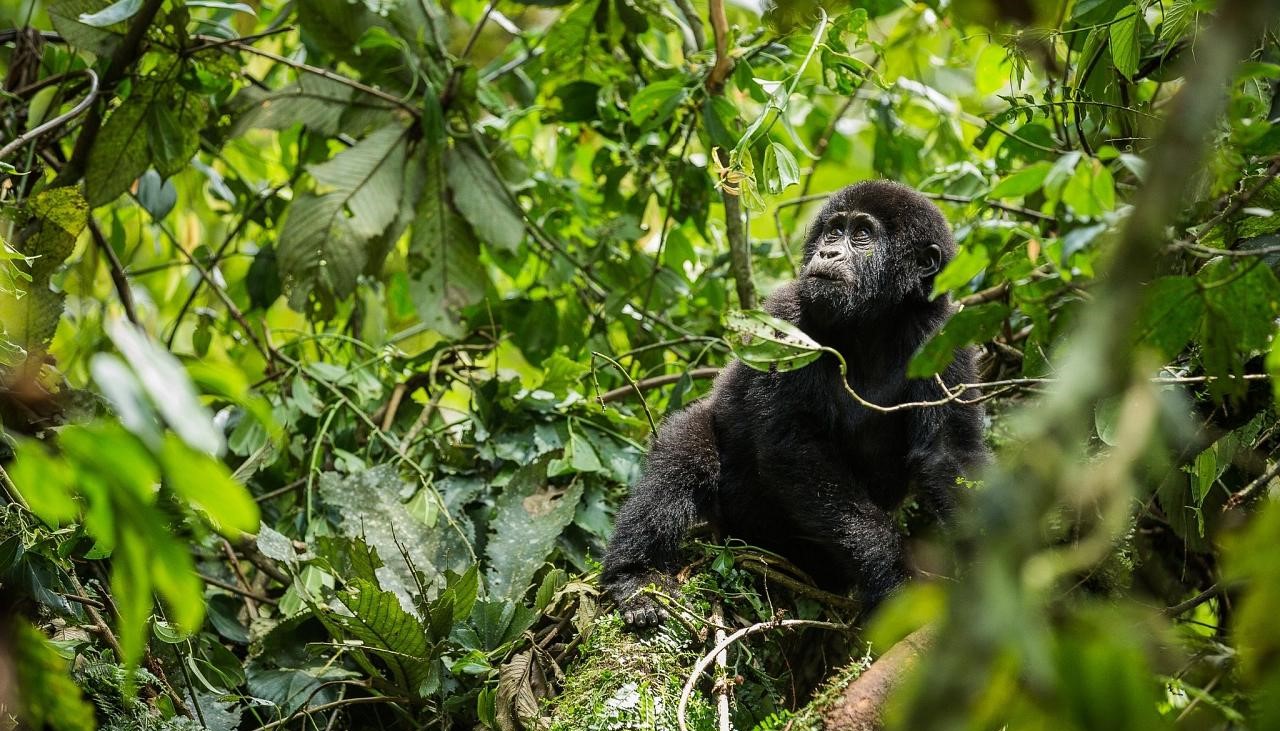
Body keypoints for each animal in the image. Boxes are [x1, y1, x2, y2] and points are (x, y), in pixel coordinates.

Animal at [601, 180, 988, 627]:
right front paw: (895, 577)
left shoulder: (946, 333)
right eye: (833, 232)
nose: (828, 253)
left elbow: (948, 453)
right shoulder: (786, 317)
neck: (875, 323)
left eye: (861, 234)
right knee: (686, 452)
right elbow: (796, 449)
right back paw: (635, 577)